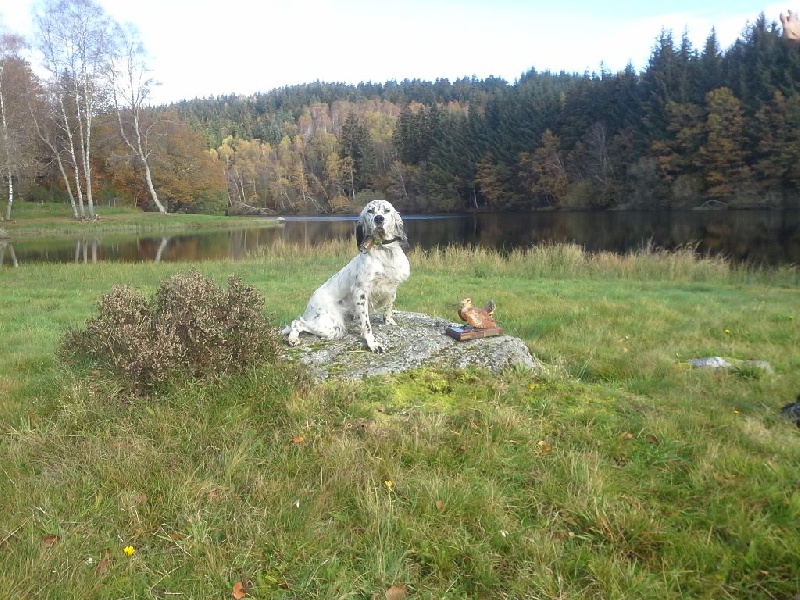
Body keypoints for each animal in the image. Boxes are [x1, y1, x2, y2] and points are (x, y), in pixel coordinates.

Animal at [282, 199, 410, 354]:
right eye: (370, 211)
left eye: (387, 210)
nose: (379, 219)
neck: (384, 251)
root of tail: (310, 303)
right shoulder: (361, 293)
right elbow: (366, 325)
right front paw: (372, 343)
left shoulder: (392, 287)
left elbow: (389, 306)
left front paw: (388, 320)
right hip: (332, 326)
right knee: (298, 322)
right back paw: (293, 339)